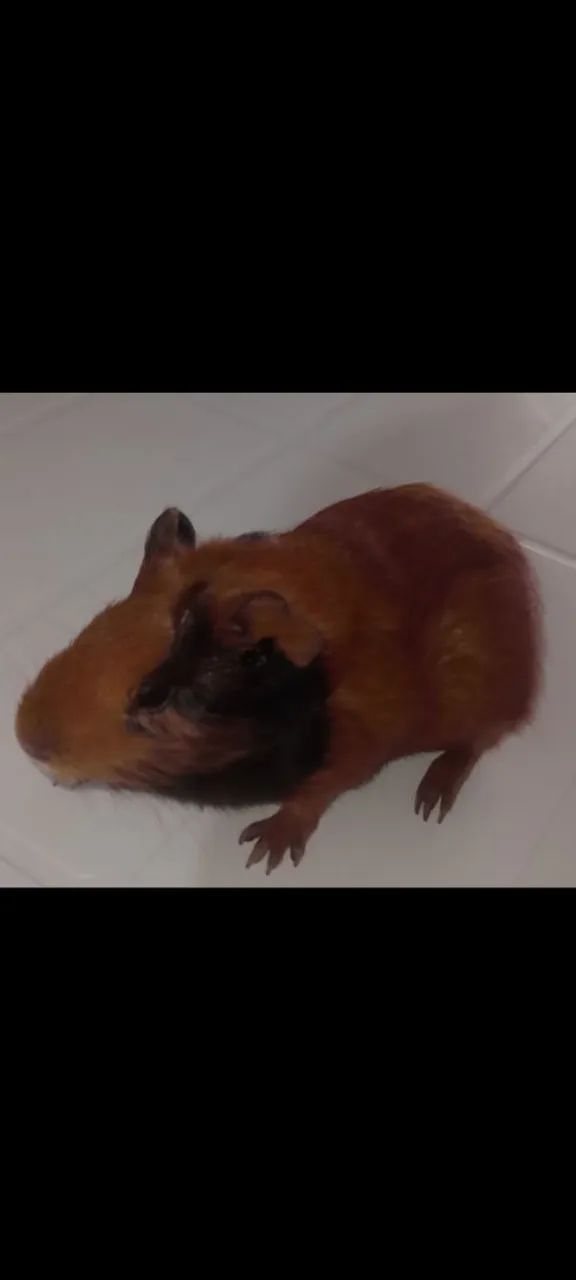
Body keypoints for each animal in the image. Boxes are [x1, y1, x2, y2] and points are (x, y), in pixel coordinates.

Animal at [15, 485, 541, 873]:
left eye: (152, 694)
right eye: (94, 625)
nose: (28, 741)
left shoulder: (357, 746)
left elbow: (316, 791)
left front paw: (261, 852)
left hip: (481, 701)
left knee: (475, 743)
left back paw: (430, 800)